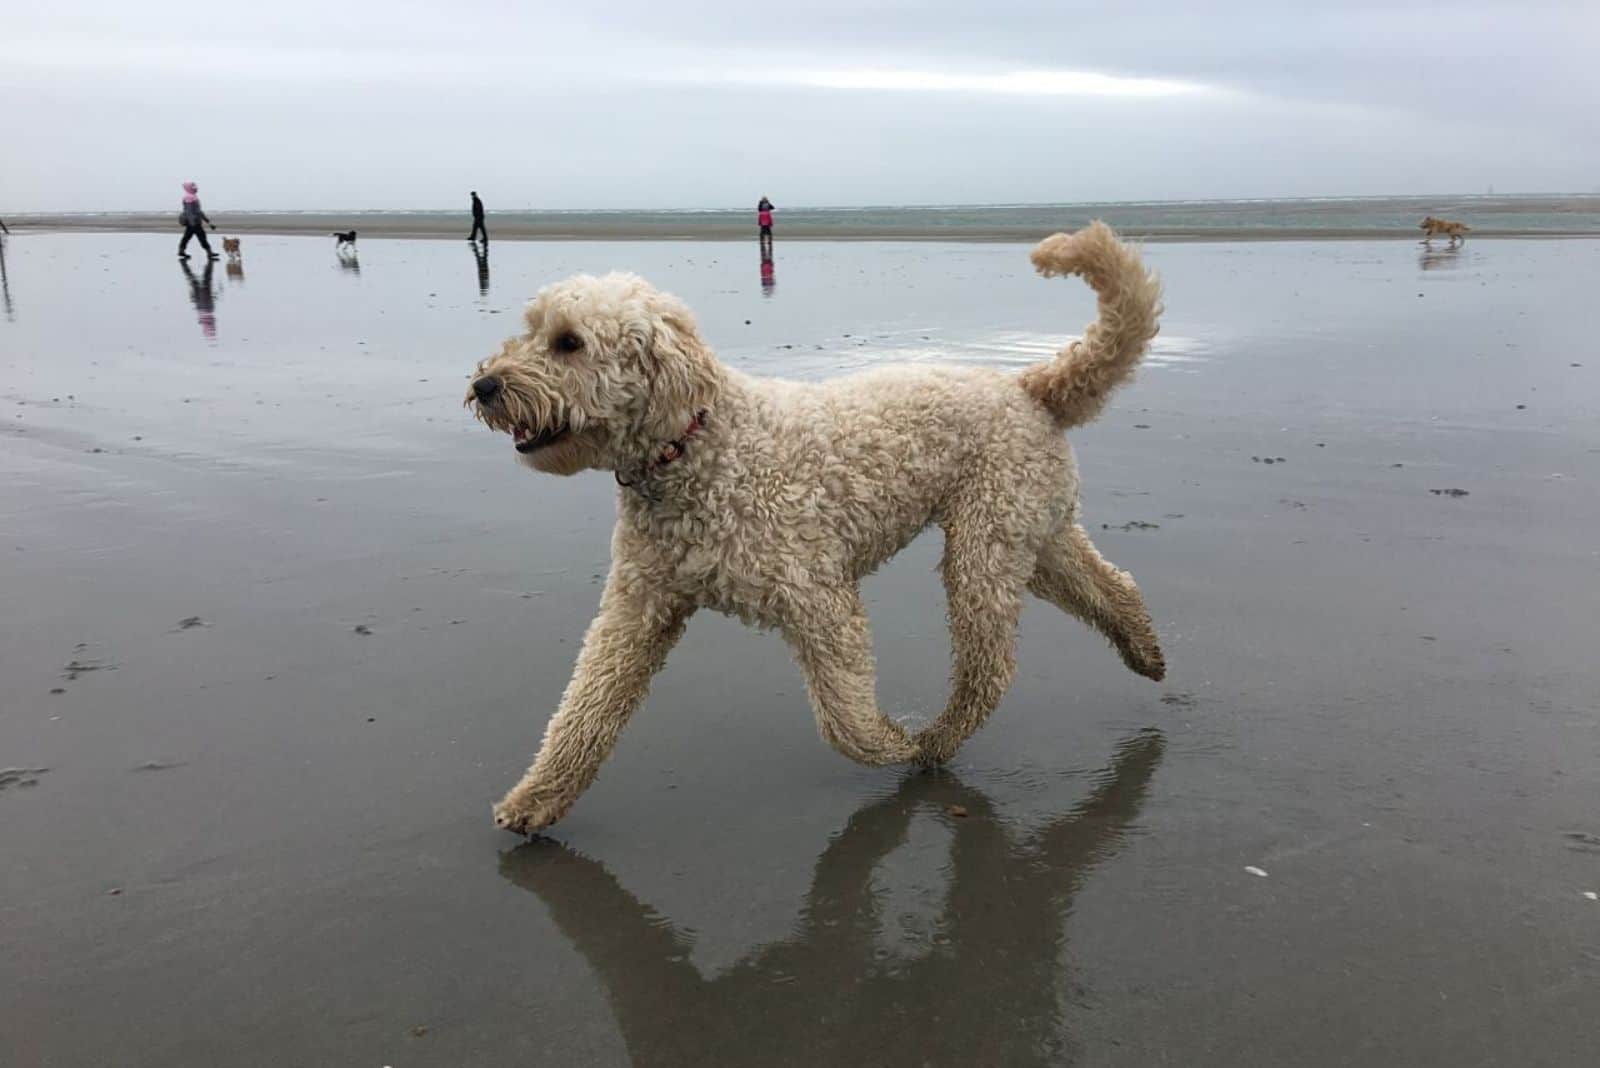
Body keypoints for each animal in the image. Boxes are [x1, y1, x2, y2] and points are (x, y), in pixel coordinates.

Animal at [467, 219, 1171, 831]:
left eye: (568, 342)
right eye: (531, 330)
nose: (484, 385)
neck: (698, 448)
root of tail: (1029, 387)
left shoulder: (819, 599)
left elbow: (845, 720)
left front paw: (892, 742)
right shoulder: (637, 605)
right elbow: (584, 706)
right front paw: (535, 800)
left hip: (984, 549)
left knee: (990, 668)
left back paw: (935, 743)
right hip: (1034, 534)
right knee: (1111, 586)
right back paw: (1145, 651)